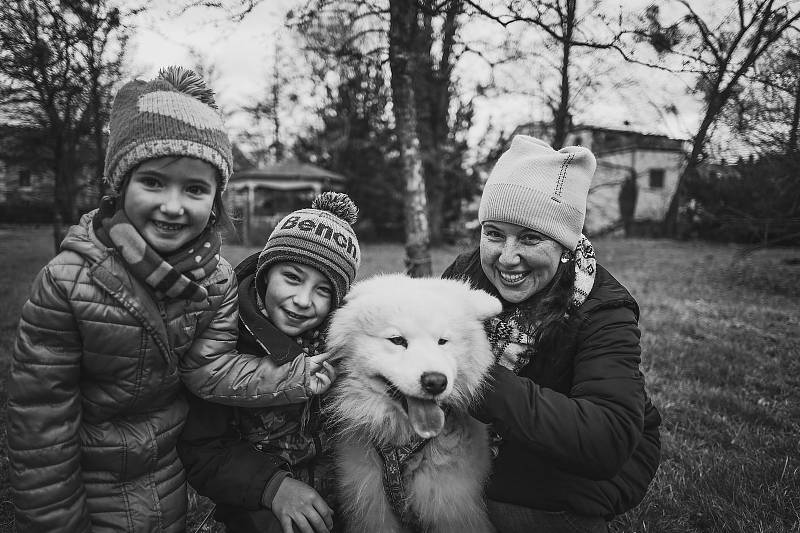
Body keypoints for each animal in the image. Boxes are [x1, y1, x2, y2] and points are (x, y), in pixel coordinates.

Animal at [324, 274, 500, 532]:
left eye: (442, 341)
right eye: (397, 340)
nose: (435, 382)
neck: (403, 444)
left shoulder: (453, 507)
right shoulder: (372, 508)